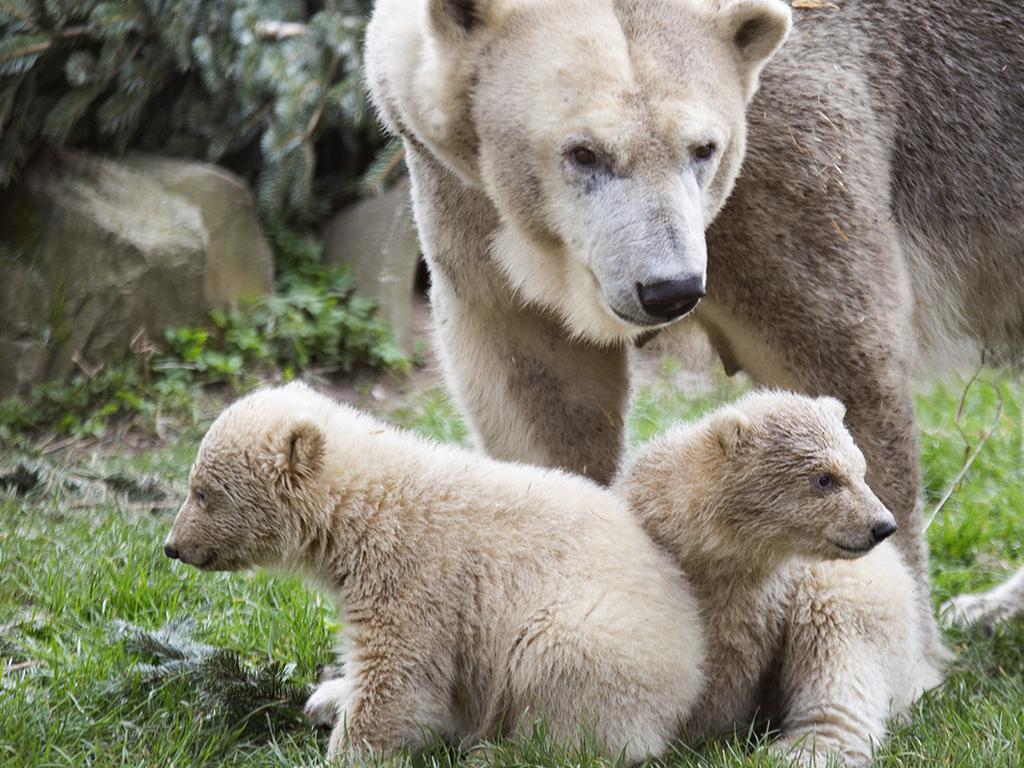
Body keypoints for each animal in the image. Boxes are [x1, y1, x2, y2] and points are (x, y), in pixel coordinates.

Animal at [364, 0, 1024, 626]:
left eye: (704, 149)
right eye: (584, 153)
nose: (670, 290)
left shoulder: (792, 159)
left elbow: (841, 365)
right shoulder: (462, 195)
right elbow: (541, 393)